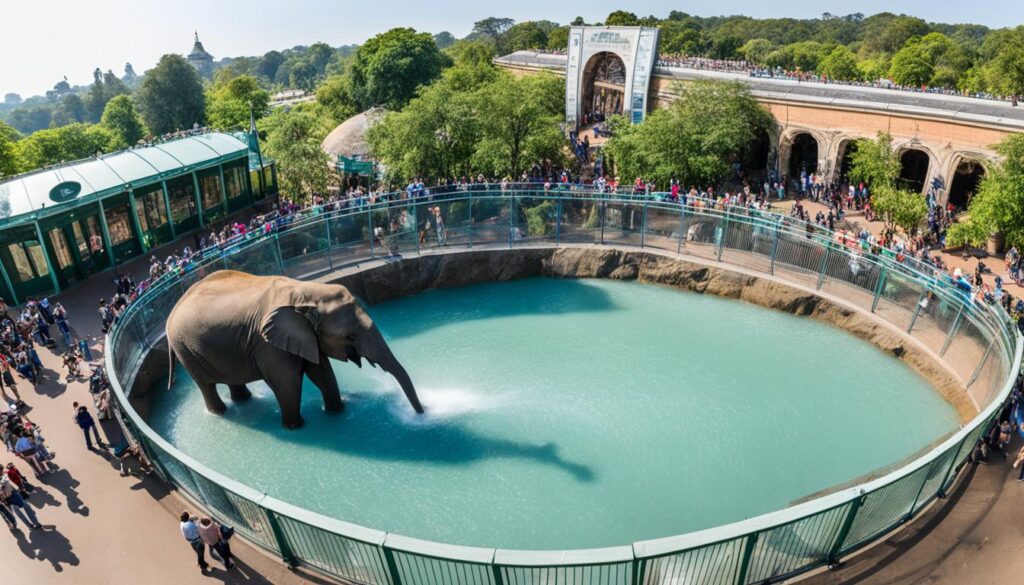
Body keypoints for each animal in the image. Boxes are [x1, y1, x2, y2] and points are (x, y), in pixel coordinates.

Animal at [165, 270, 421, 430]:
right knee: (206, 385)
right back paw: (219, 413)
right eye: (350, 336)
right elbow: (287, 382)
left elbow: (322, 372)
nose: (422, 412)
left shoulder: (306, 337)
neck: (305, 291)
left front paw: (337, 411)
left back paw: (244, 400)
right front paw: (294, 427)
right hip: (185, 349)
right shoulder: (268, 344)